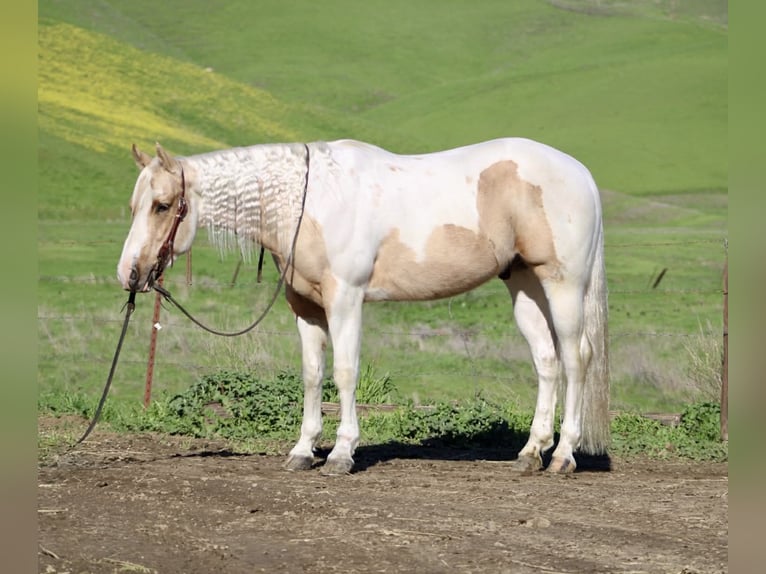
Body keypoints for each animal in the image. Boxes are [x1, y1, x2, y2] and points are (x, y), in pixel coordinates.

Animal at [117, 137, 610, 475]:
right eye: (134, 204)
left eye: (163, 205)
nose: (130, 274)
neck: (309, 203)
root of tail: (582, 174)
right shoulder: (306, 308)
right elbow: (313, 376)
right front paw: (302, 451)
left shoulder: (346, 300)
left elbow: (344, 372)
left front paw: (341, 453)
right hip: (524, 286)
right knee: (546, 360)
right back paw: (531, 452)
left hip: (563, 285)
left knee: (575, 358)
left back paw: (563, 455)